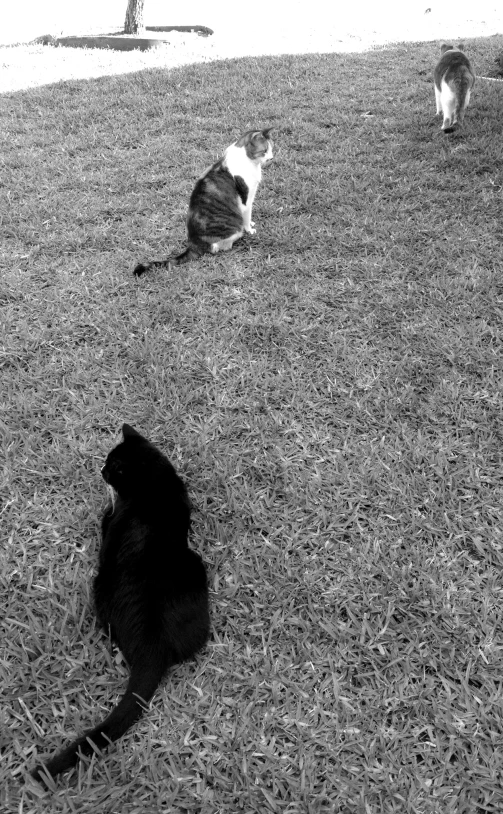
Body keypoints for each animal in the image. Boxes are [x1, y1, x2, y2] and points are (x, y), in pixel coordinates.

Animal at [31, 424, 210, 780]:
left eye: (113, 466)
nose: (100, 470)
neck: (154, 482)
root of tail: (153, 645)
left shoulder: (111, 529)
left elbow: (105, 521)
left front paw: (105, 507)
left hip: (100, 584)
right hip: (196, 569)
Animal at [134, 129, 274, 276]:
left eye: (272, 148)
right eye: (264, 151)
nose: (271, 158)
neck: (249, 162)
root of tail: (193, 244)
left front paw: (251, 223)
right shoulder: (246, 199)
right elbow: (247, 217)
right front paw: (250, 230)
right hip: (233, 229)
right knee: (217, 247)